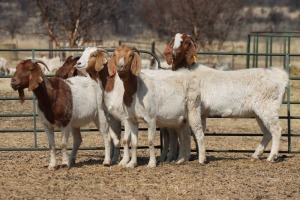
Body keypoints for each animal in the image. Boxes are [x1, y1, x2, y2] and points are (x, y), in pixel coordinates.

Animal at [164, 32, 288, 161]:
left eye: (186, 42)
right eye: (173, 40)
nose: (175, 50)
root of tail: (280, 77)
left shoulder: (196, 109)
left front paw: (197, 156)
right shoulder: (202, 114)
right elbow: (196, 133)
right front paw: (198, 154)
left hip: (268, 107)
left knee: (276, 130)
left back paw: (272, 157)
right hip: (259, 112)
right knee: (267, 133)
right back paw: (256, 155)